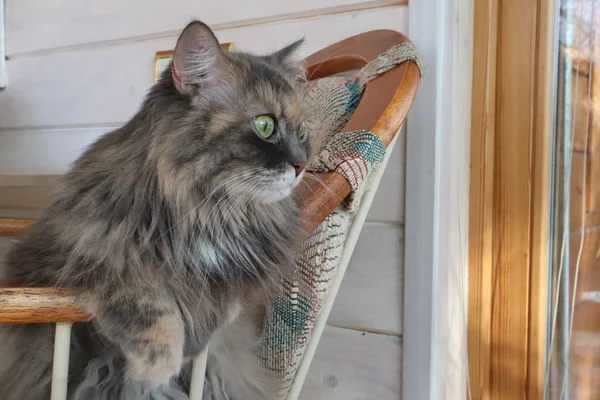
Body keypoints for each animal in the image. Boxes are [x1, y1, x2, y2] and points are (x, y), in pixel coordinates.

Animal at [0, 21, 310, 400]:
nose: (302, 164)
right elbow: (142, 294)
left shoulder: (237, 277)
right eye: (265, 125)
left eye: (302, 131)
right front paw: (158, 364)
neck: (209, 213)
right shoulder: (71, 259)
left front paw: (200, 333)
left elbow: (224, 299)